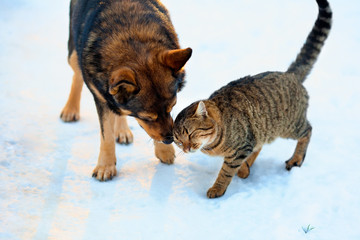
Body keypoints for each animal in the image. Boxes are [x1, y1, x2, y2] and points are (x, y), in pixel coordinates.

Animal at [60, 0, 193, 180]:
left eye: (172, 107)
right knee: (77, 75)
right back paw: (70, 109)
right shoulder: (101, 97)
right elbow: (107, 135)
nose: (169, 139)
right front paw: (105, 166)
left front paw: (164, 151)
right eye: (147, 117)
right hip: (74, 53)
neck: (131, 36)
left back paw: (122, 130)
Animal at [173, 0, 334, 198]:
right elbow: (244, 157)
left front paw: (217, 188)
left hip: (290, 126)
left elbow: (226, 172)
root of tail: (290, 74)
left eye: (189, 134)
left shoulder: (240, 148)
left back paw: (296, 159)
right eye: (179, 141)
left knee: (308, 130)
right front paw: (244, 169)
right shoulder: (248, 141)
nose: (186, 149)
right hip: (264, 128)